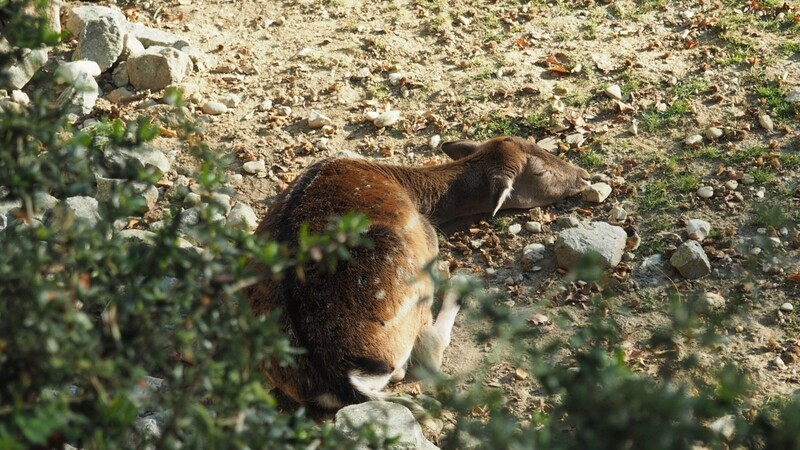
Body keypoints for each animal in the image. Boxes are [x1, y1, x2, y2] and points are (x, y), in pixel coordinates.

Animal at [247, 134, 592, 418]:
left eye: (536, 144)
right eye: (541, 173)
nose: (584, 176)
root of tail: (339, 381)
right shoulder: (429, 239)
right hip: (413, 286)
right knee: (428, 352)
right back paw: (460, 286)